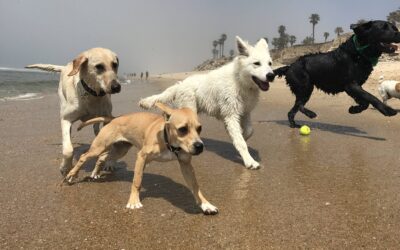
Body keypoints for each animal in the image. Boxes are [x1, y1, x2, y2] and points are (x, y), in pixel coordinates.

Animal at [25, 47, 121, 176]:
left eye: (115, 64)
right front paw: (65, 167)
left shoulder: (107, 118)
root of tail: (66, 66)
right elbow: (68, 149)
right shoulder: (66, 119)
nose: (116, 87)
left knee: (97, 129)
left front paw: (109, 162)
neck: (92, 95)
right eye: (99, 66)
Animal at [64, 103, 219, 215]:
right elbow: (137, 181)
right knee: (83, 157)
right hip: (99, 147)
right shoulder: (141, 157)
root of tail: (114, 118)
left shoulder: (186, 164)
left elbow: (195, 186)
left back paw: (95, 172)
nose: (199, 146)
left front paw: (206, 204)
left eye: (199, 129)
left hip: (120, 150)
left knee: (102, 158)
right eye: (182, 129)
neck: (168, 142)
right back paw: (71, 175)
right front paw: (133, 201)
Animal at [139, 36, 274, 170]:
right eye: (257, 63)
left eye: (270, 63)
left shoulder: (245, 112)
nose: (271, 75)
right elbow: (241, 142)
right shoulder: (230, 115)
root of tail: (180, 85)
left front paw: (242, 137)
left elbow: (249, 131)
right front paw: (249, 161)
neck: (239, 80)